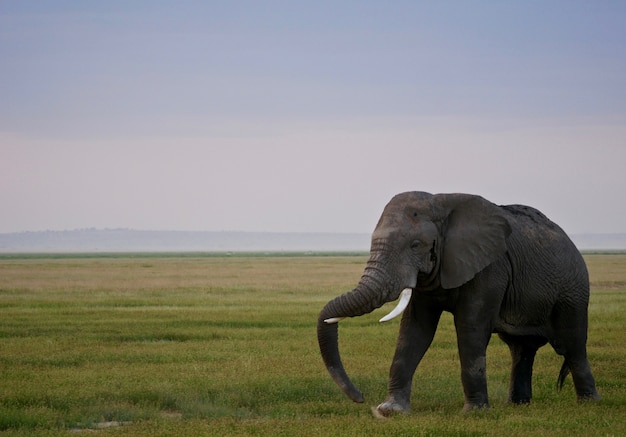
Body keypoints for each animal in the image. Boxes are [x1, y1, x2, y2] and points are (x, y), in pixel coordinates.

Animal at [316, 191, 600, 416]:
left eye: (415, 245)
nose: (361, 398)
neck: (441, 206)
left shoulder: (489, 268)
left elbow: (470, 329)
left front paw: (474, 413)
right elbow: (414, 332)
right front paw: (392, 411)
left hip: (573, 291)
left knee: (572, 345)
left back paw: (588, 403)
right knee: (522, 349)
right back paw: (518, 405)